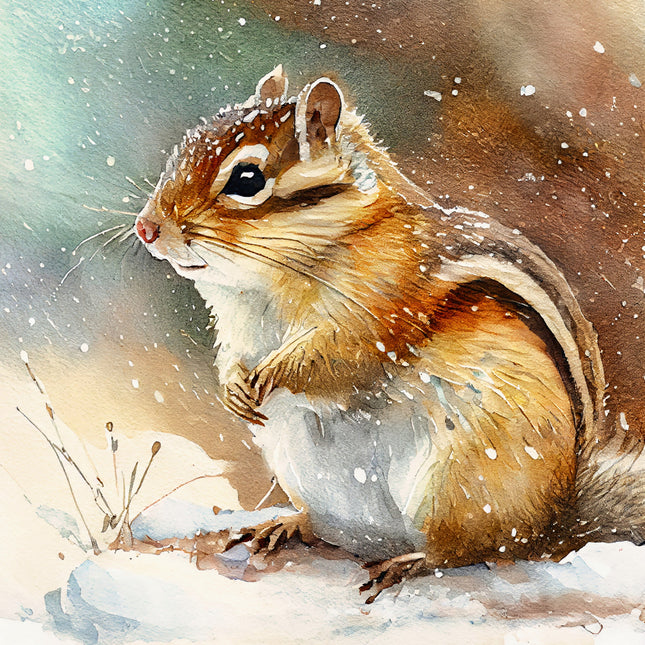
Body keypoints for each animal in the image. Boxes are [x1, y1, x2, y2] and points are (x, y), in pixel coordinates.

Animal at [134, 65, 611, 601]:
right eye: (183, 150)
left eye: (247, 179)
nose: (146, 228)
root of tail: (555, 526)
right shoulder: (238, 330)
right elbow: (233, 357)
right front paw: (234, 390)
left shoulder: (377, 306)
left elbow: (334, 356)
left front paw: (271, 376)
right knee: (327, 528)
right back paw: (283, 526)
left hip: (457, 485)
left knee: (468, 550)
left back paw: (407, 562)